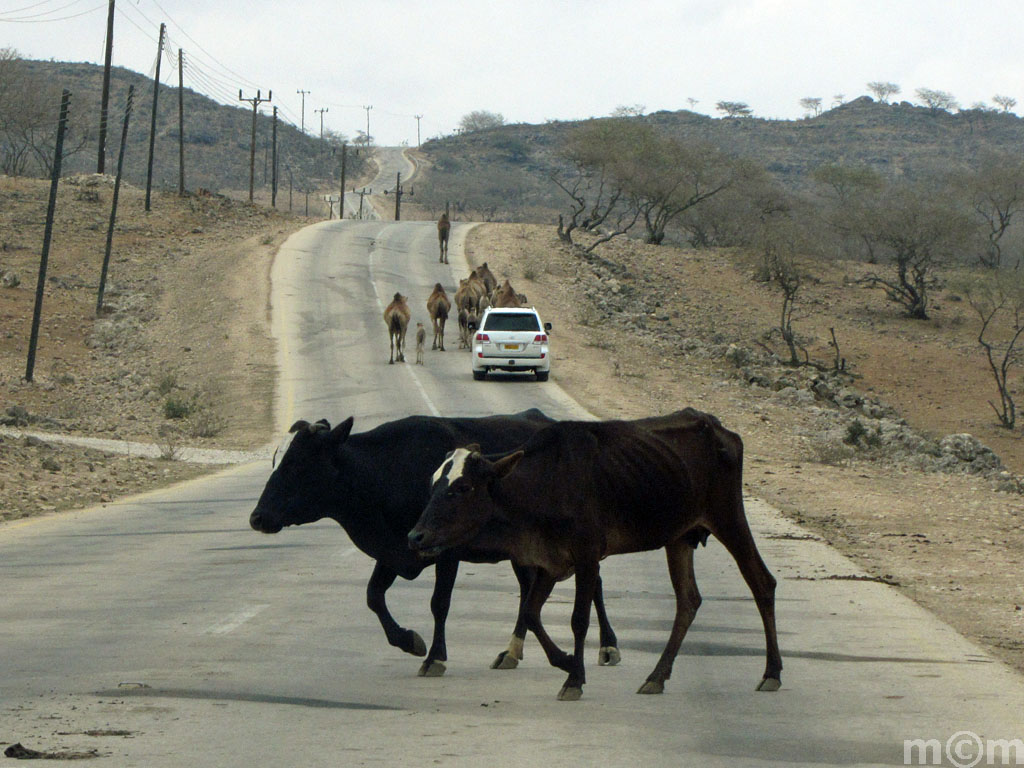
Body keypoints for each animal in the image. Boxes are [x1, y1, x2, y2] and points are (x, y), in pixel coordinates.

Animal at [249, 411, 614, 675]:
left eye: (297, 463)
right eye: (275, 461)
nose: (257, 517)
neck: (385, 472)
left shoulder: (445, 551)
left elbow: (439, 603)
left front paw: (435, 657)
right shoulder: (397, 549)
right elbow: (373, 596)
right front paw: (408, 640)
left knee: (593, 583)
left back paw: (608, 647)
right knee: (529, 590)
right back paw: (511, 651)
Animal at [409, 409, 782, 704]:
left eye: (462, 488)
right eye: (433, 484)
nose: (416, 536)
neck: (546, 481)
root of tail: (718, 427)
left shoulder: (587, 556)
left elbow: (578, 619)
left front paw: (574, 678)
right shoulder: (550, 562)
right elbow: (530, 612)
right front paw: (566, 661)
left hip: (729, 518)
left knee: (762, 583)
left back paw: (772, 673)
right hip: (679, 539)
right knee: (688, 601)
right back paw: (656, 677)